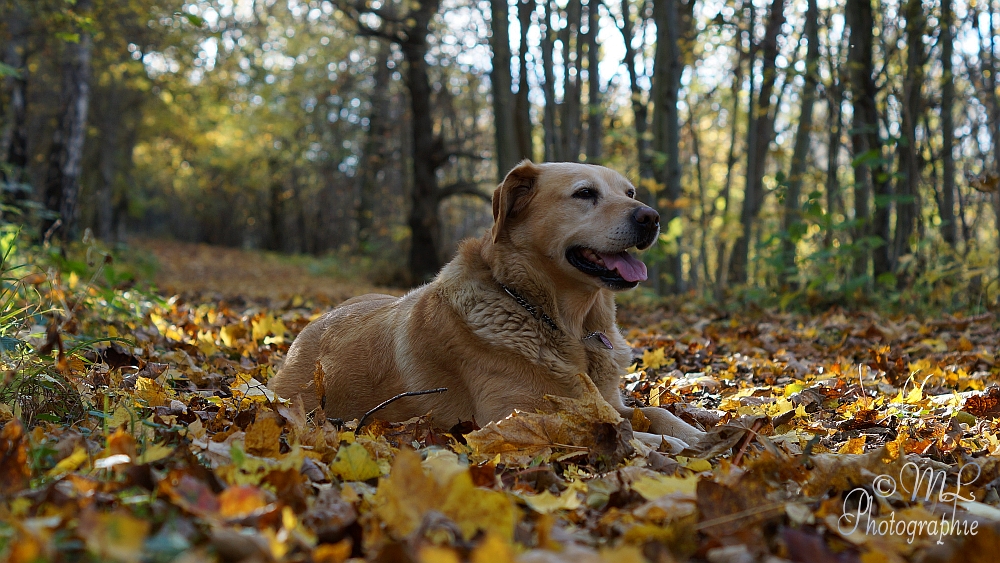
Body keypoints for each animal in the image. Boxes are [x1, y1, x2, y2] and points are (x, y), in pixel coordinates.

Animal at [266, 161, 704, 452]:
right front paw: (670, 447)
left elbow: (657, 415)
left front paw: (696, 433)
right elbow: (627, 434)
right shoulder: (517, 417)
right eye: (584, 193)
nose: (652, 217)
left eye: (630, 193)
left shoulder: (606, 400)